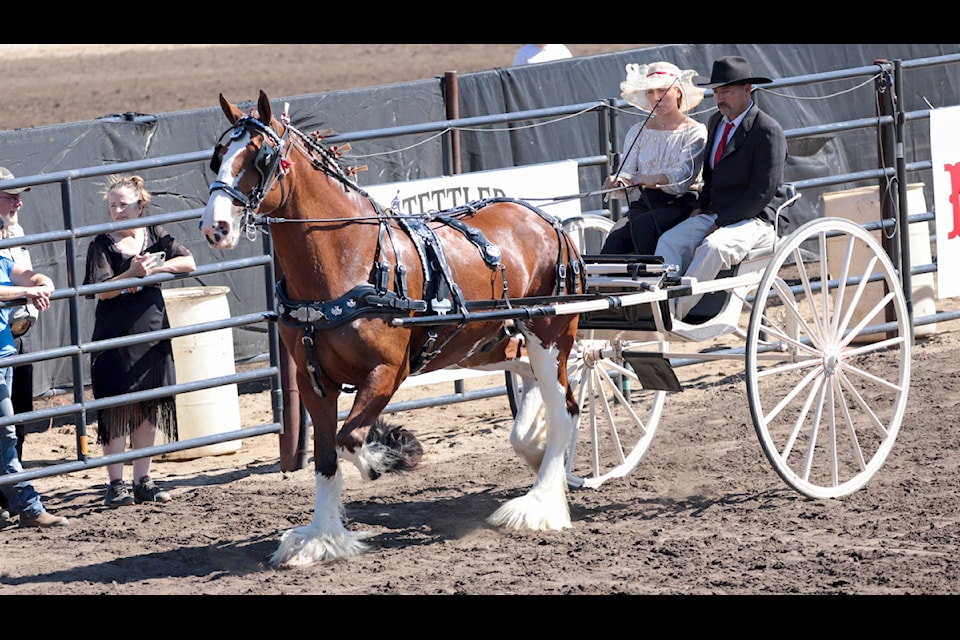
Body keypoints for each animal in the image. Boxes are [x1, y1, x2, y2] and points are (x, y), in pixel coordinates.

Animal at [199, 92, 580, 568]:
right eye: (217, 158)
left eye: (261, 157)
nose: (215, 227)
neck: (347, 260)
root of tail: (547, 219)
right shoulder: (312, 380)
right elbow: (326, 457)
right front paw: (323, 538)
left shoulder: (386, 372)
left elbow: (350, 438)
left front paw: (391, 453)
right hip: (489, 342)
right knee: (531, 382)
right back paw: (538, 455)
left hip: (550, 334)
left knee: (565, 408)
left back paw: (540, 504)